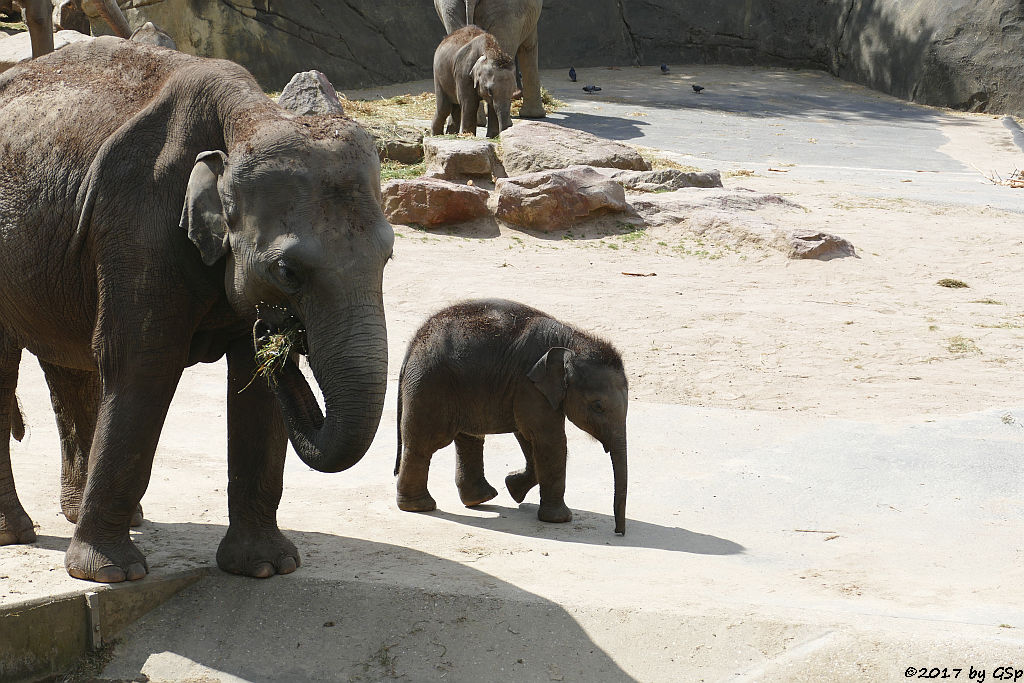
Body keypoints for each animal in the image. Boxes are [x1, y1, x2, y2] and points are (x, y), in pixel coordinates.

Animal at [0, 37, 391, 581]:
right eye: (287, 271)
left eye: (388, 256)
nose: (281, 333)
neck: (249, 116)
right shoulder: (138, 222)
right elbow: (144, 364)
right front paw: (109, 574)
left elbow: (252, 383)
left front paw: (266, 567)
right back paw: (16, 534)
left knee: (68, 368)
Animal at [395, 299, 626, 532]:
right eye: (598, 406)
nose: (618, 532)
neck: (572, 342)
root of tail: (412, 345)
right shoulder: (530, 386)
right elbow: (549, 441)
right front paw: (559, 519)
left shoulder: (524, 389)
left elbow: (528, 436)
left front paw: (513, 488)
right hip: (430, 384)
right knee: (424, 444)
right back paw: (419, 507)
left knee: (468, 439)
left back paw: (479, 499)